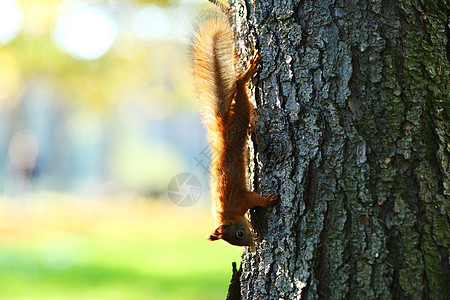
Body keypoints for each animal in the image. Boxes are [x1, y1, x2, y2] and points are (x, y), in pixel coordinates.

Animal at [192, 2, 278, 246]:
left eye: (239, 234)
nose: (252, 243)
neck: (229, 212)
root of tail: (223, 134)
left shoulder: (241, 198)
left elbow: (255, 198)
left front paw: (268, 200)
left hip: (239, 118)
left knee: (239, 84)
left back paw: (248, 72)